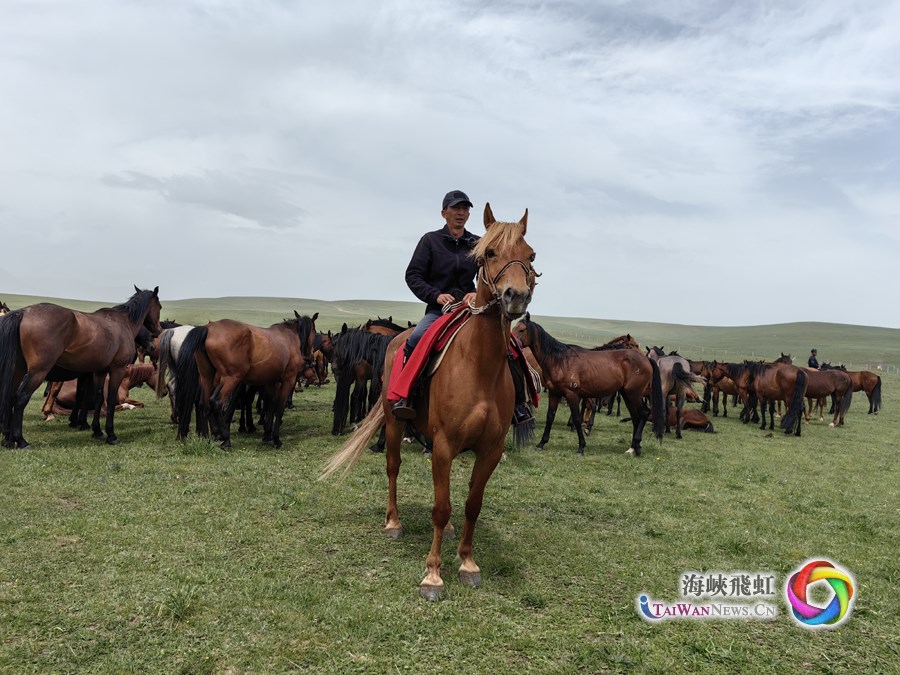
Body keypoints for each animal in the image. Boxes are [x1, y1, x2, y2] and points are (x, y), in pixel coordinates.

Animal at [0, 286, 162, 448]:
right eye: (159, 306)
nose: (158, 332)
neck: (123, 322)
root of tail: (23, 313)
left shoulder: (99, 371)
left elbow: (97, 399)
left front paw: (96, 430)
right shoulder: (117, 370)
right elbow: (109, 400)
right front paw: (110, 434)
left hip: (18, 371)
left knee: (10, 397)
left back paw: (8, 439)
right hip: (38, 372)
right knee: (20, 398)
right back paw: (20, 440)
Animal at [174, 312, 318, 448]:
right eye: (314, 332)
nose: (311, 358)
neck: (289, 337)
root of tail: (208, 329)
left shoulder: (272, 381)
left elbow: (270, 406)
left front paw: (267, 435)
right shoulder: (288, 380)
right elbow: (279, 408)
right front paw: (276, 440)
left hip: (207, 377)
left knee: (203, 404)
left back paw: (207, 438)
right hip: (230, 379)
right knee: (216, 402)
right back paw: (225, 439)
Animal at [322, 203, 536, 600]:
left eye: (530, 255)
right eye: (489, 253)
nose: (516, 297)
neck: (479, 366)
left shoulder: (490, 449)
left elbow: (470, 505)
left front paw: (467, 563)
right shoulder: (444, 444)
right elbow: (440, 506)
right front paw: (433, 575)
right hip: (394, 424)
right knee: (393, 468)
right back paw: (393, 522)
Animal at [510, 316, 664, 454]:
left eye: (522, 330)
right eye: (513, 328)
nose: (511, 351)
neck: (560, 361)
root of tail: (646, 360)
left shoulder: (572, 394)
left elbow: (578, 418)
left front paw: (581, 446)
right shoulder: (554, 394)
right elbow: (550, 417)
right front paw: (541, 443)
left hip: (633, 394)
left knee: (644, 413)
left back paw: (636, 445)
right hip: (628, 394)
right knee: (637, 416)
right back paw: (634, 447)